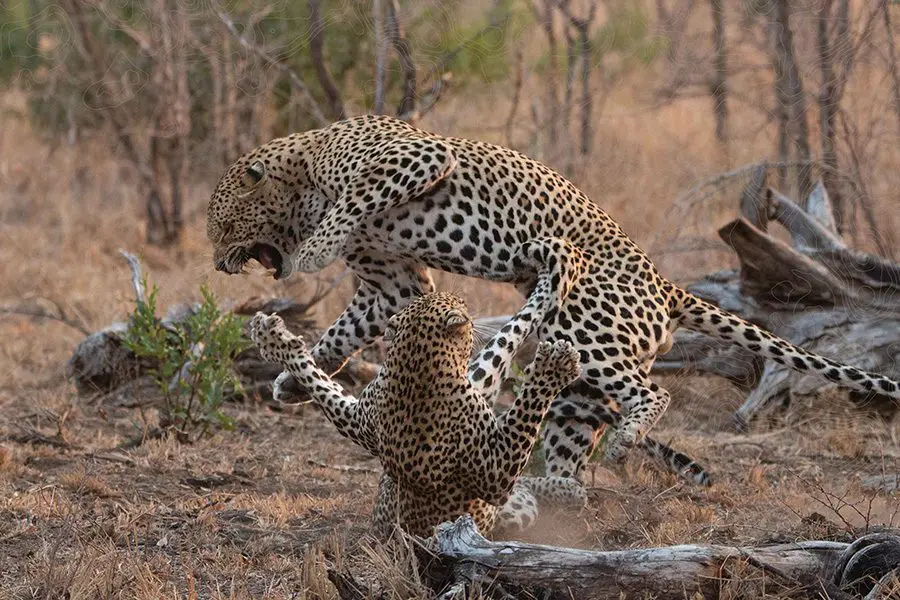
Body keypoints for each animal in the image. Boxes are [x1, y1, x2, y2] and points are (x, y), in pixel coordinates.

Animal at [211, 116, 900, 488]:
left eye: (221, 226)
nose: (218, 263)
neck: (300, 174)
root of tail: (667, 285)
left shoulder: (418, 158)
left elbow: (346, 207)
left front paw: (308, 257)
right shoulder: (392, 286)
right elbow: (345, 329)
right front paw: (290, 379)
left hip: (591, 330)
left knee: (654, 394)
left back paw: (623, 442)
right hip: (576, 375)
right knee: (569, 437)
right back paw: (552, 494)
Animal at [246, 278, 588, 536]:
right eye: (459, 304)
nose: (467, 307)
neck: (416, 363)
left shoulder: (359, 419)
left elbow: (319, 381)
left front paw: (276, 341)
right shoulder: (494, 473)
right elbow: (525, 409)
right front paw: (552, 369)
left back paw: (567, 488)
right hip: (509, 506)